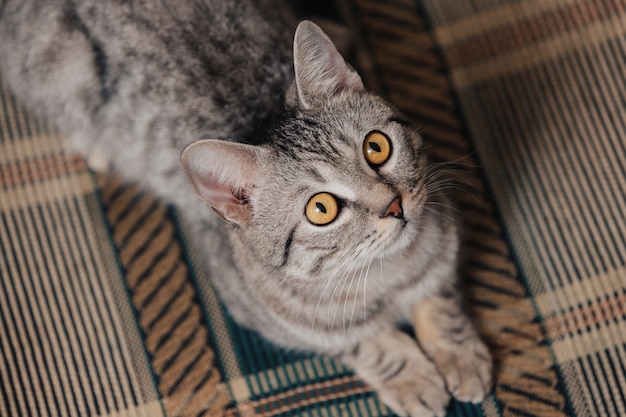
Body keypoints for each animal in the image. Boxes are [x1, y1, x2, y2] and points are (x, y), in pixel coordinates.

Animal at [0, 1, 492, 414]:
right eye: (321, 209)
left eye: (376, 147)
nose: (393, 205)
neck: (387, 277)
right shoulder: (274, 316)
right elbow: (362, 343)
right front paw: (409, 376)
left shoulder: (443, 239)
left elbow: (439, 296)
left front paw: (458, 353)